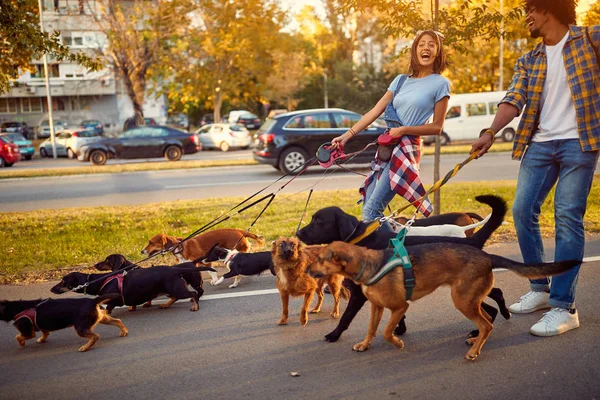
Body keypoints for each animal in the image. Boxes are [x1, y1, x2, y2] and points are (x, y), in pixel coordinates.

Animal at [308, 241, 580, 362]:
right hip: (468, 299)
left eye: (320, 259)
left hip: (462, 300)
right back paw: (475, 341)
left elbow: (386, 332)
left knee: (487, 323)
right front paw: (365, 345)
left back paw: (474, 350)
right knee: (487, 320)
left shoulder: (400, 307)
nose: (308, 270)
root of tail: (487, 256)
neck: (369, 265)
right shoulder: (377, 306)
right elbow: (372, 329)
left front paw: (397, 343)